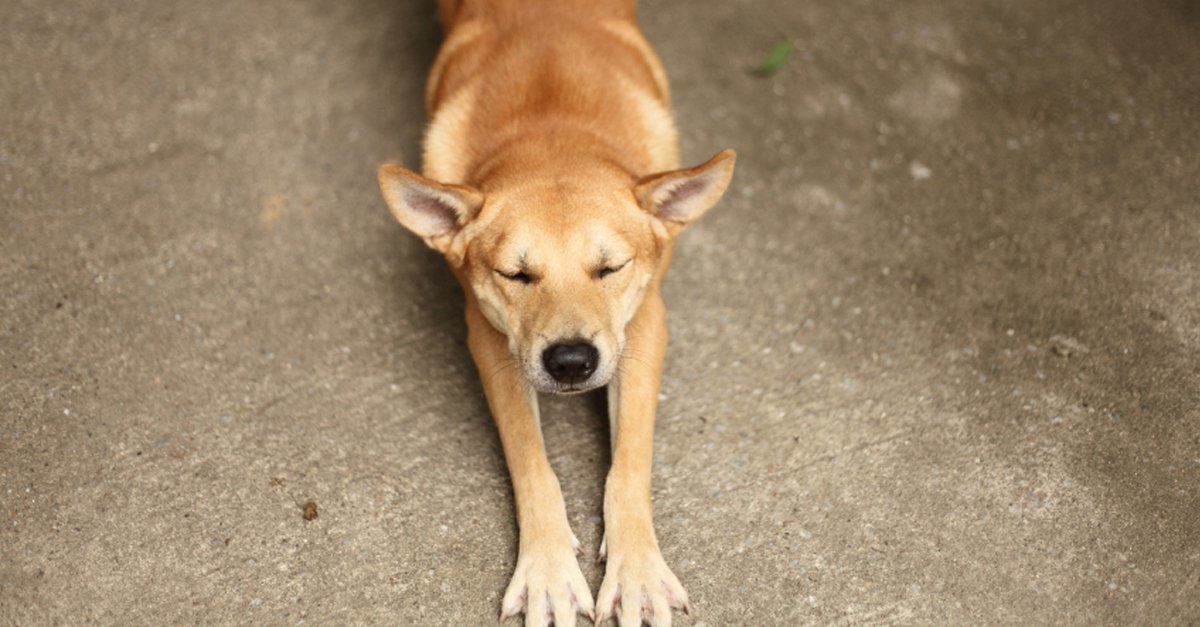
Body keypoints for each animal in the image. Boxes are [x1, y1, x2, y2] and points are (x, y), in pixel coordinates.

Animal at [376, 2, 729, 619]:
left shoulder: (644, 326)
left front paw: (636, 569)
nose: (570, 362)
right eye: (516, 274)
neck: (552, 125)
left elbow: (629, 462)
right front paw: (547, 570)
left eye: (609, 268)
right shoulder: (490, 340)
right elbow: (532, 464)